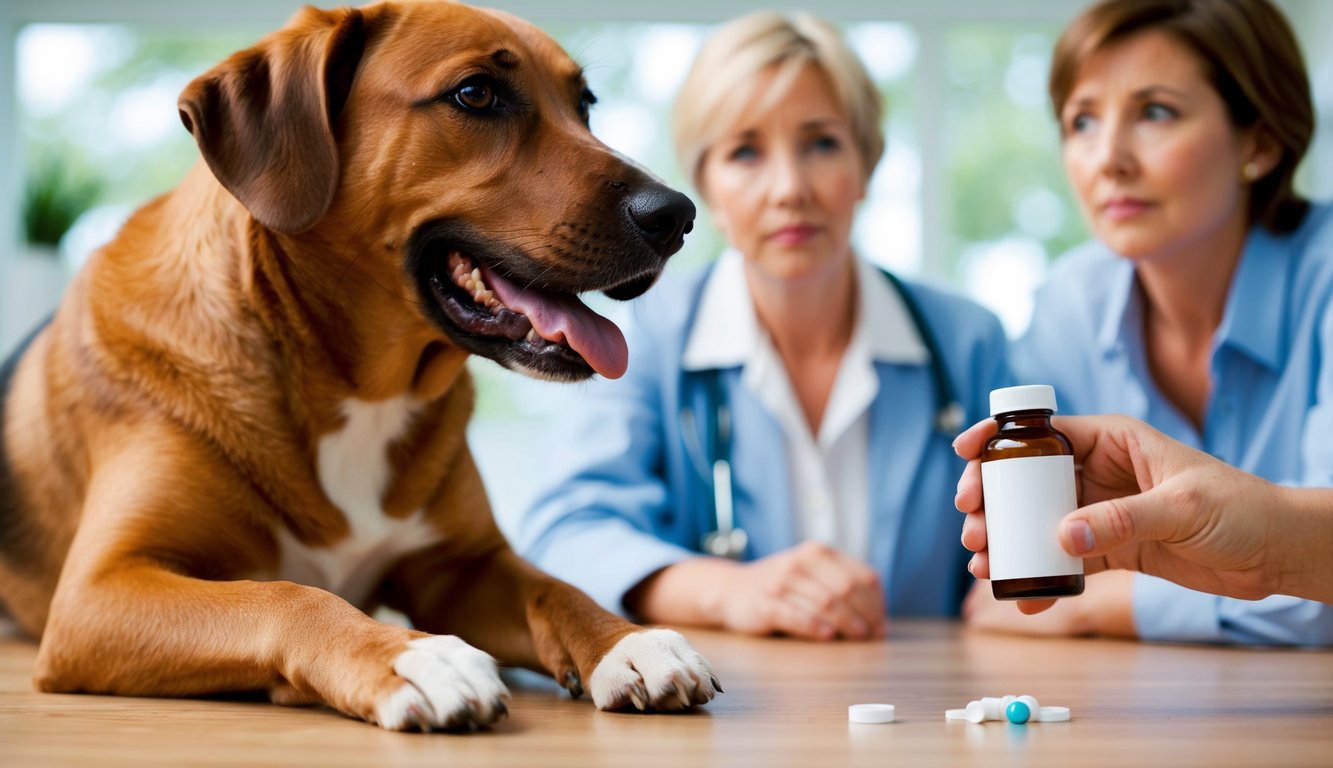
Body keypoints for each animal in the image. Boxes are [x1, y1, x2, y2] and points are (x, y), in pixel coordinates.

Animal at [0, 0, 719, 730]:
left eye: (584, 106)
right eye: (475, 93)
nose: (677, 215)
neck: (357, 385)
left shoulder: (464, 568)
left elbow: (554, 589)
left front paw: (626, 642)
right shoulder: (101, 589)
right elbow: (285, 594)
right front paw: (411, 656)